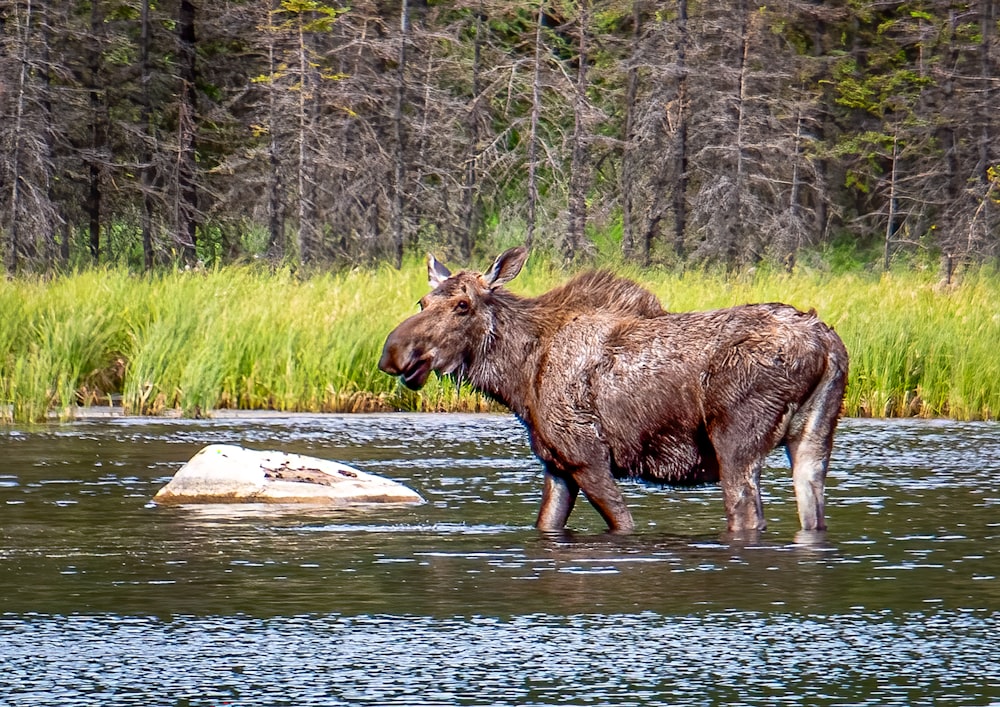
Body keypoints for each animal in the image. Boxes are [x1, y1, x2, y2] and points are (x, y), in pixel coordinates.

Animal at [378, 249, 848, 536]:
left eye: (463, 305)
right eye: (422, 302)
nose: (394, 352)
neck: (518, 377)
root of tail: (827, 345)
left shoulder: (588, 457)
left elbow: (622, 523)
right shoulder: (557, 465)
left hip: (736, 442)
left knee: (746, 514)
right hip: (814, 439)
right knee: (813, 512)